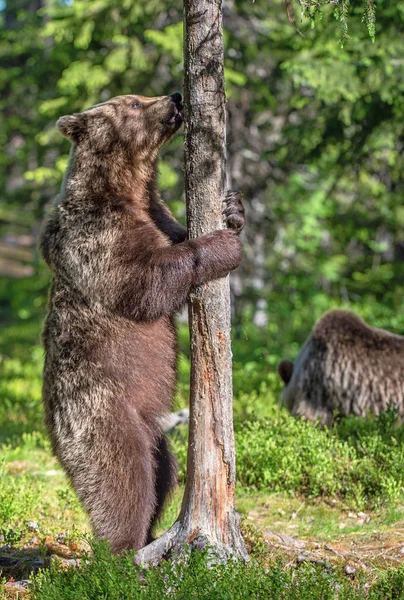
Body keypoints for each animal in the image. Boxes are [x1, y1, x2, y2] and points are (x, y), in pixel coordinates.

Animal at [39, 92, 245, 552]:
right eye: (131, 102)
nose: (175, 96)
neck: (126, 190)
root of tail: (52, 433)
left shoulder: (156, 212)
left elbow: (176, 236)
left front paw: (234, 209)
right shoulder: (97, 239)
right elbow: (149, 280)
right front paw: (220, 245)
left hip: (153, 431)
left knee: (164, 470)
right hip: (101, 412)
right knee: (123, 478)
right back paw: (123, 550)